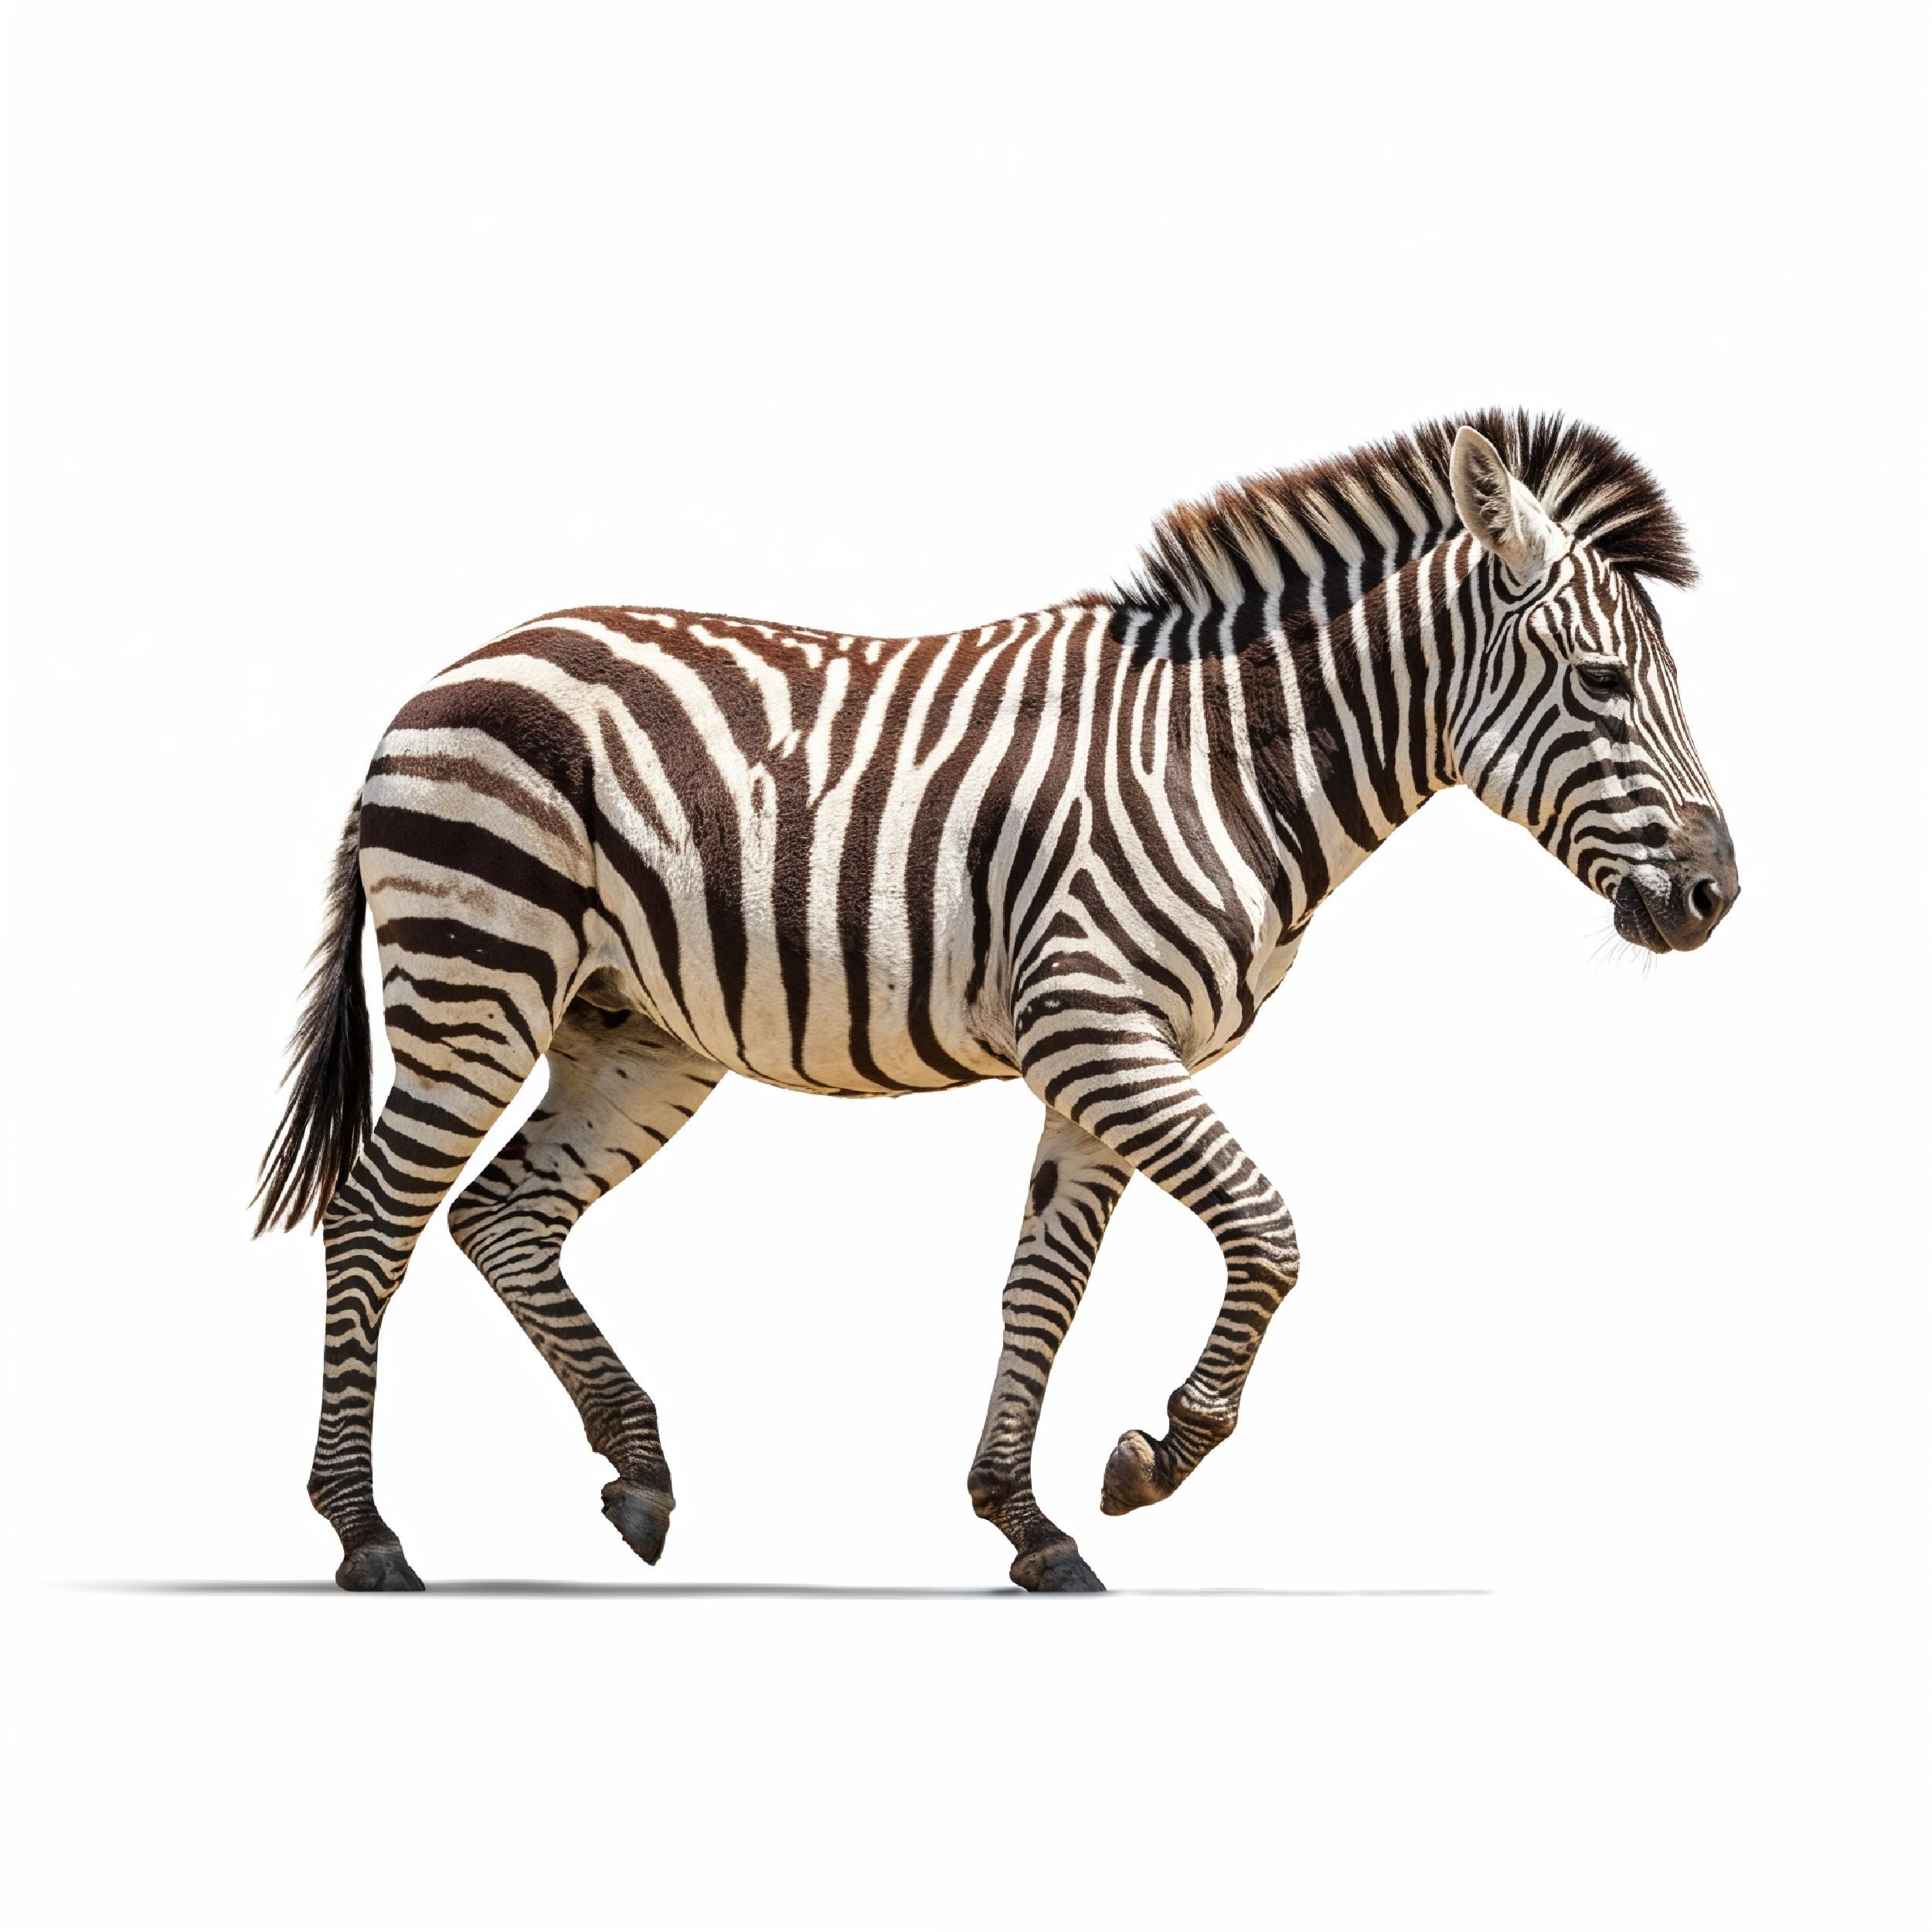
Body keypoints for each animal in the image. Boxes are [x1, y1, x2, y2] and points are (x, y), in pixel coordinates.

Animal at [256, 411, 1738, 1593]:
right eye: (1605, 682)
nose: (1716, 895)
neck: (1222, 759)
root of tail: (436, 683)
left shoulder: (1101, 1061)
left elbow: (1044, 1287)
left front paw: (1028, 1523)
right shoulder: (1096, 1030)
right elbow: (1270, 1235)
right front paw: (1158, 1455)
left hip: (633, 1032)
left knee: (501, 1216)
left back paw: (638, 1474)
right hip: (478, 976)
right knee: (374, 1217)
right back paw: (366, 1534)